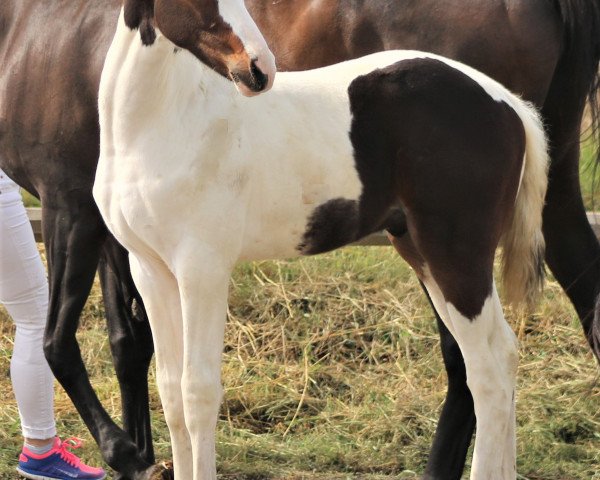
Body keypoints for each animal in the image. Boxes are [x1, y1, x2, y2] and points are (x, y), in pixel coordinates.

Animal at [0, 0, 596, 480]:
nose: (258, 69)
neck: (160, 125)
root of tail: (507, 103)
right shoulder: (152, 270)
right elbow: (168, 390)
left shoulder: (201, 269)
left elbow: (198, 391)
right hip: (424, 253)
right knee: (494, 359)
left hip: (457, 255)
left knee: (490, 367)